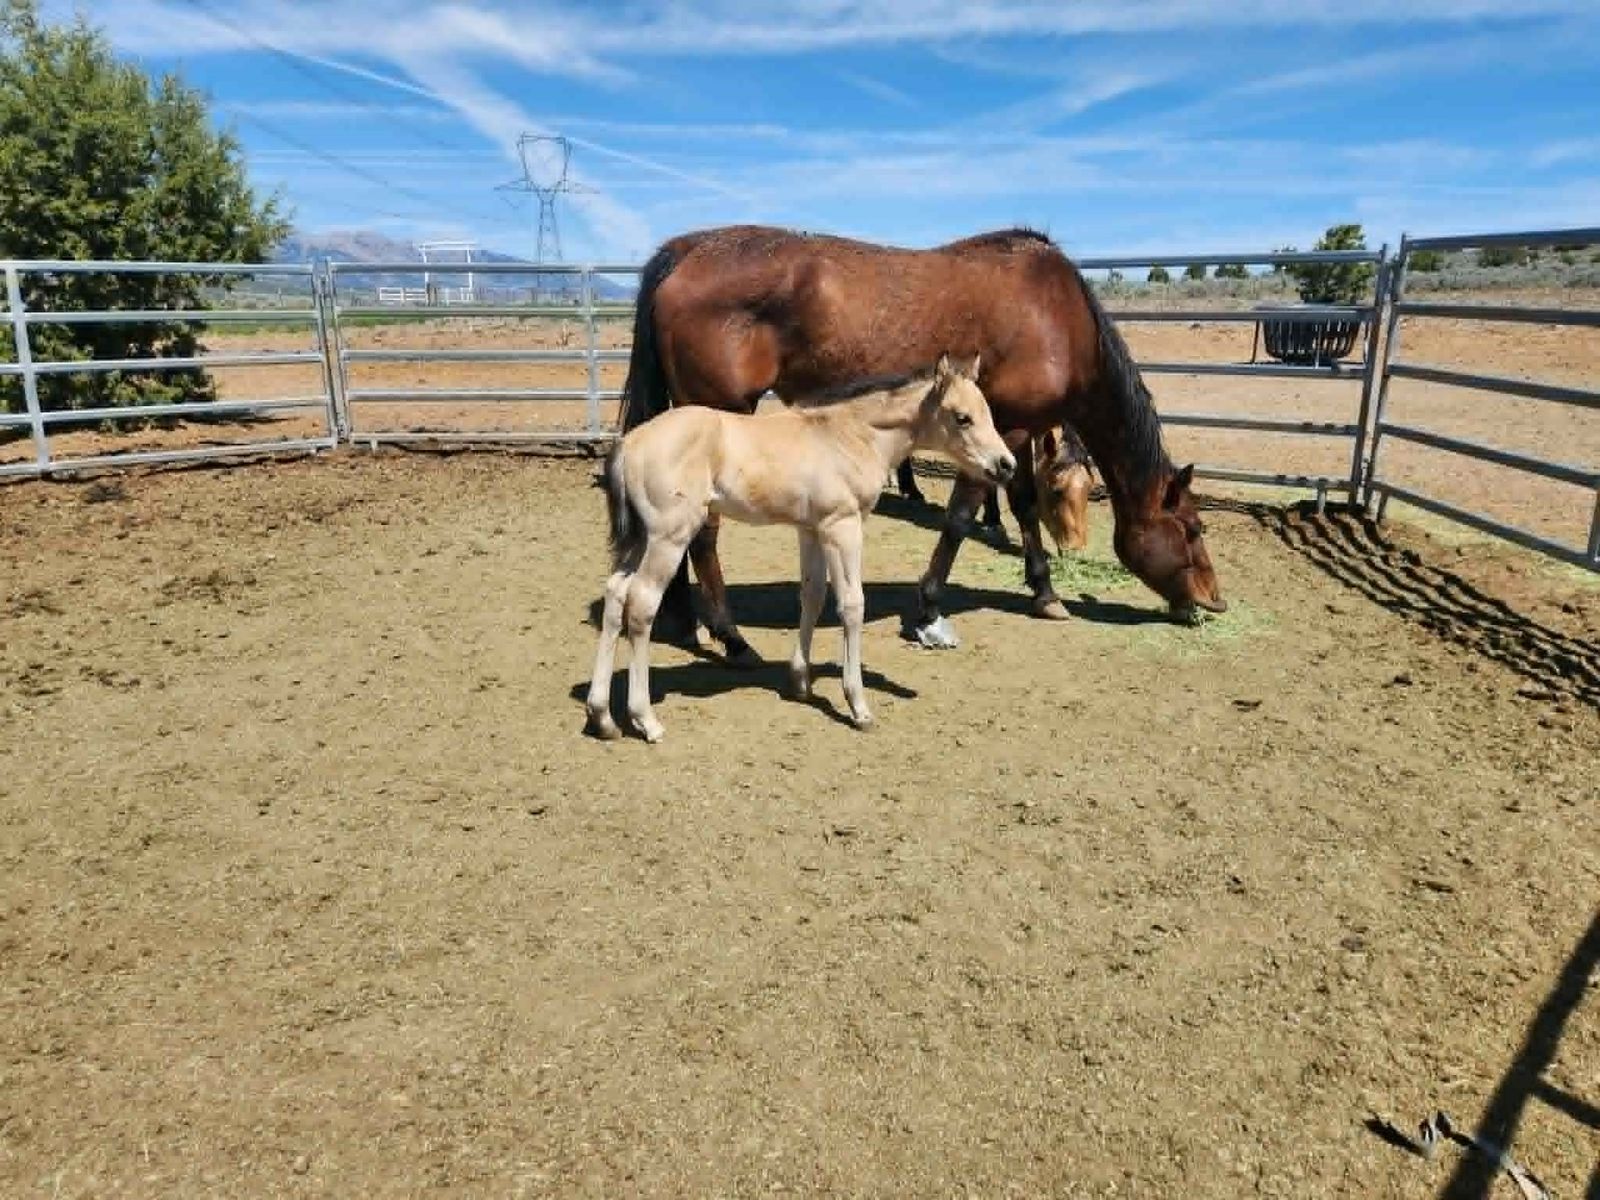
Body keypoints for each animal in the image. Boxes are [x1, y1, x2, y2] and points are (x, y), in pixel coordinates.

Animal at [586, 354, 1014, 743]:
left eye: (988, 412)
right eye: (962, 417)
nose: (1006, 464)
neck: (849, 436)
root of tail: (628, 443)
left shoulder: (811, 529)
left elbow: (812, 595)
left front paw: (800, 682)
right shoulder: (843, 526)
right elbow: (852, 605)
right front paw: (858, 705)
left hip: (641, 539)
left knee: (615, 593)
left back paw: (603, 717)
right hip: (669, 536)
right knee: (642, 602)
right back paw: (646, 720)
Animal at [619, 224, 1224, 657]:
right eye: (1192, 529)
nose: (1212, 601)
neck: (1058, 318)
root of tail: (687, 250)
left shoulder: (1011, 434)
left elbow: (1023, 504)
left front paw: (1045, 592)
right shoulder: (1001, 433)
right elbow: (961, 519)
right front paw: (930, 608)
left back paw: (685, 619)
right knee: (704, 534)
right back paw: (729, 635)